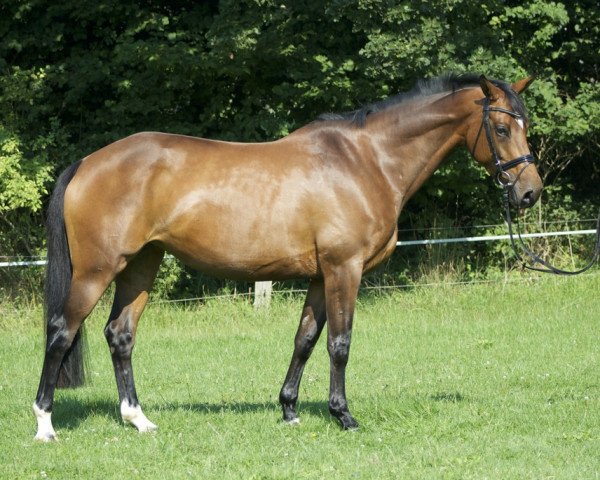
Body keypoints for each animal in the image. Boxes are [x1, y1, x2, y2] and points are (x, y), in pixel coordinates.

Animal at [32, 71, 540, 438]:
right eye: (500, 127)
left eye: (526, 126)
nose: (529, 193)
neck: (366, 161)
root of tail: (88, 163)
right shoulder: (344, 270)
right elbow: (339, 344)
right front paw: (343, 416)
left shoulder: (319, 276)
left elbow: (306, 340)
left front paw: (290, 410)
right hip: (97, 270)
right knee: (60, 332)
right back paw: (45, 425)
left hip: (141, 265)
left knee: (120, 335)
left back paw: (138, 420)